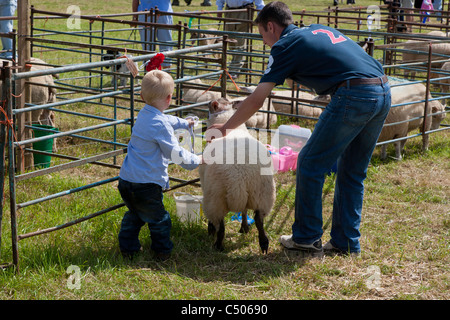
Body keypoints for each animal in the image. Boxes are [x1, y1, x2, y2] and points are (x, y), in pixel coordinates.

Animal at [201, 97, 278, 252]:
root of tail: (238, 178)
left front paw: (211, 230)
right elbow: (244, 211)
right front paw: (244, 227)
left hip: (215, 199)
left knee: (221, 227)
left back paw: (217, 245)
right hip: (263, 195)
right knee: (259, 220)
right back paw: (263, 242)